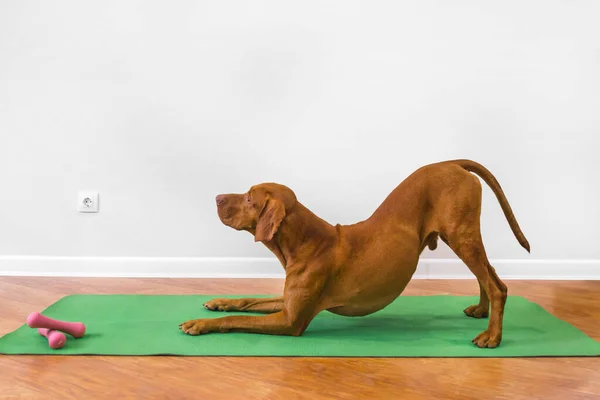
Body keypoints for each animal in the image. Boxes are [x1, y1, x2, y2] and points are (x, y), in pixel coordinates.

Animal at [180, 159, 528, 346]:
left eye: (250, 198)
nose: (217, 198)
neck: (304, 242)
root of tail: (452, 162)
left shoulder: (291, 322)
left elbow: (239, 319)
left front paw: (200, 323)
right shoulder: (287, 304)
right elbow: (246, 301)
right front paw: (219, 302)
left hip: (461, 236)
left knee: (497, 285)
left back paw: (492, 336)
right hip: (462, 237)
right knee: (489, 276)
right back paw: (481, 311)